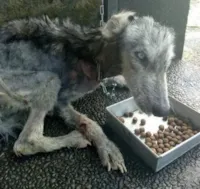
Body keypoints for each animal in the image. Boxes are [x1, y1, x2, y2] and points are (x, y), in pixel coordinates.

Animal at [0, 10, 174, 173]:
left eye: (167, 64)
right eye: (141, 55)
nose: (164, 110)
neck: (93, 56)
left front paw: (120, 80)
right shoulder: (60, 101)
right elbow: (91, 124)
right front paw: (107, 146)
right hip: (48, 80)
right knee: (26, 142)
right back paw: (73, 138)